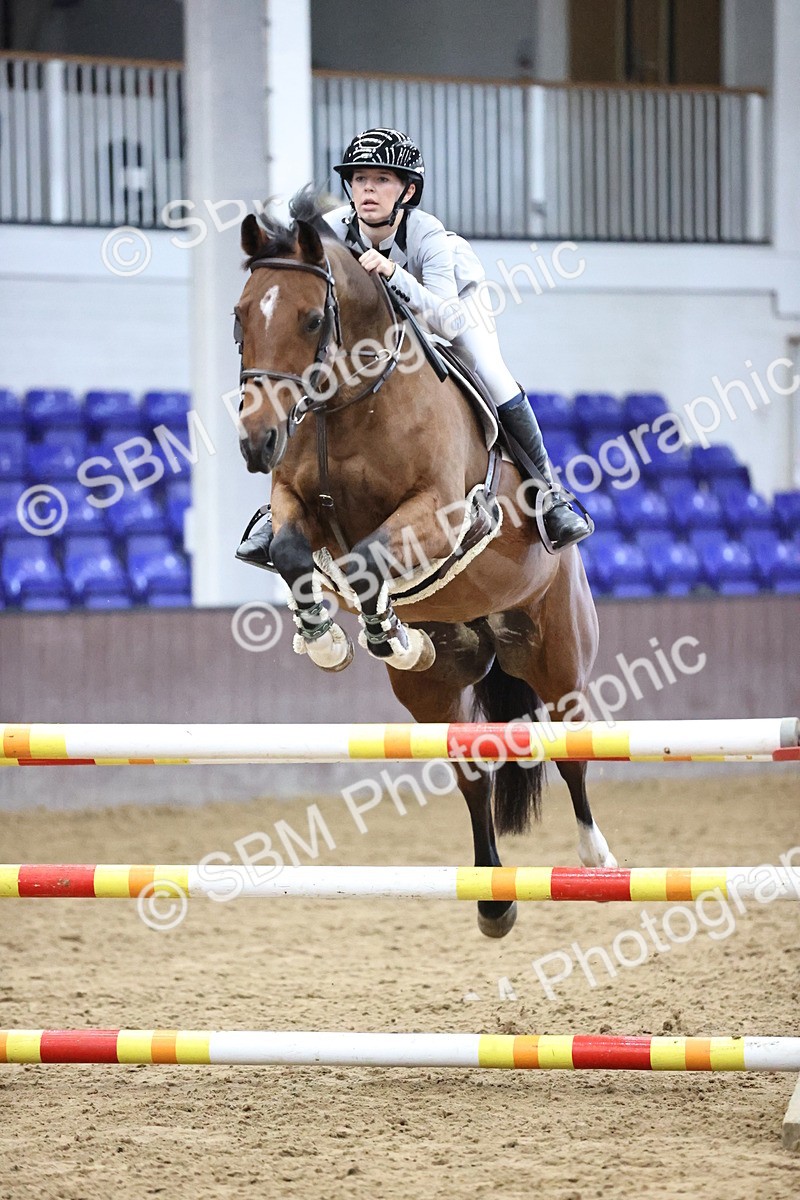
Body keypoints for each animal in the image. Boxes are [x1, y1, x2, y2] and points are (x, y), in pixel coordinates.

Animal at [233, 192, 615, 938]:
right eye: (240, 317)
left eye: (312, 318)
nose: (256, 441)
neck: (346, 404)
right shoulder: (294, 501)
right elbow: (297, 551)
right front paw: (330, 639)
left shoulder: (439, 511)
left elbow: (365, 558)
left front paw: (382, 629)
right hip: (436, 693)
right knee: (471, 771)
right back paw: (494, 899)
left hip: (558, 656)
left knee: (572, 749)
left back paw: (596, 858)